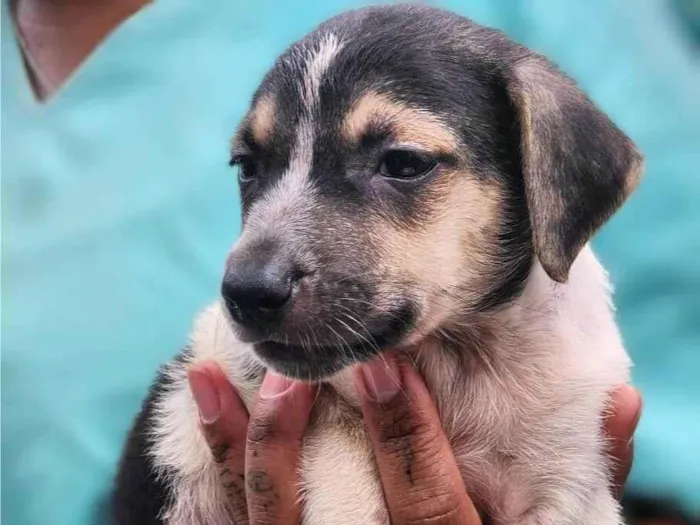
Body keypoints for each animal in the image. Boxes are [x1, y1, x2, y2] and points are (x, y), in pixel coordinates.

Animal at [112, 5, 644, 524]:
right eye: (247, 167)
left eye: (404, 163)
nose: (245, 294)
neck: (461, 356)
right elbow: (340, 441)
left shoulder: (567, 475)